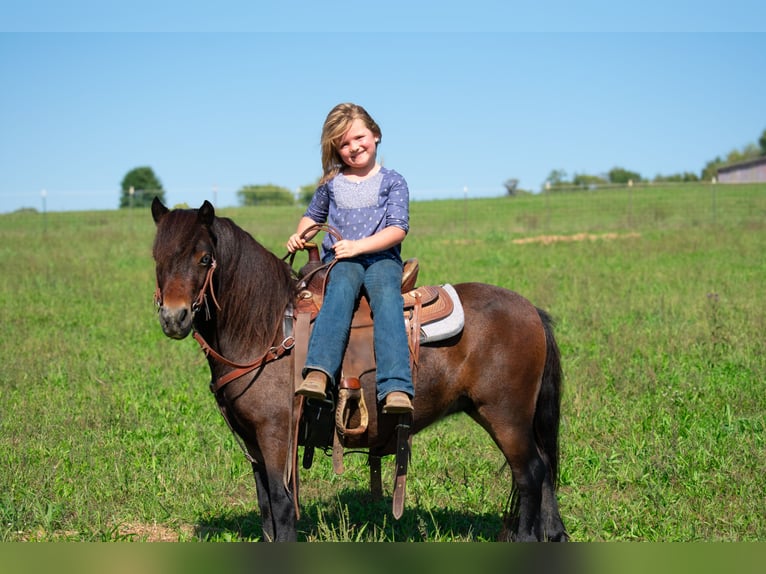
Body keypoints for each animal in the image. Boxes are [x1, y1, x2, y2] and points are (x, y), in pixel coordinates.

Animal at [152, 199, 568, 544]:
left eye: (205, 258)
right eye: (157, 256)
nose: (174, 317)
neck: (266, 329)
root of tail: (530, 310)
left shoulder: (275, 435)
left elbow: (282, 505)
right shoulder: (253, 442)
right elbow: (265, 506)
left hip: (505, 416)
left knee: (530, 473)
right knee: (544, 468)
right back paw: (554, 534)